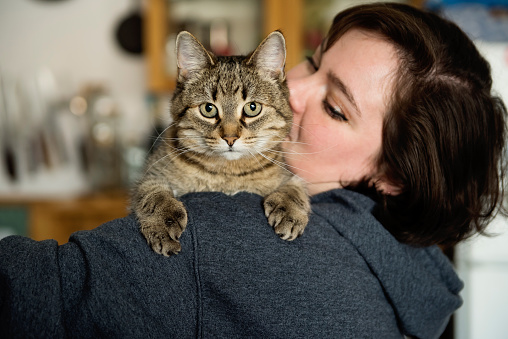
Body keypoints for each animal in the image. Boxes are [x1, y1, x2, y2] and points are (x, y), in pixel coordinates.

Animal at [131, 31, 310, 258]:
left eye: (252, 107)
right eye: (208, 109)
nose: (230, 138)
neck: (228, 175)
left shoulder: (289, 174)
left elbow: (295, 188)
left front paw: (289, 210)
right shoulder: (151, 175)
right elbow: (153, 194)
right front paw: (163, 221)